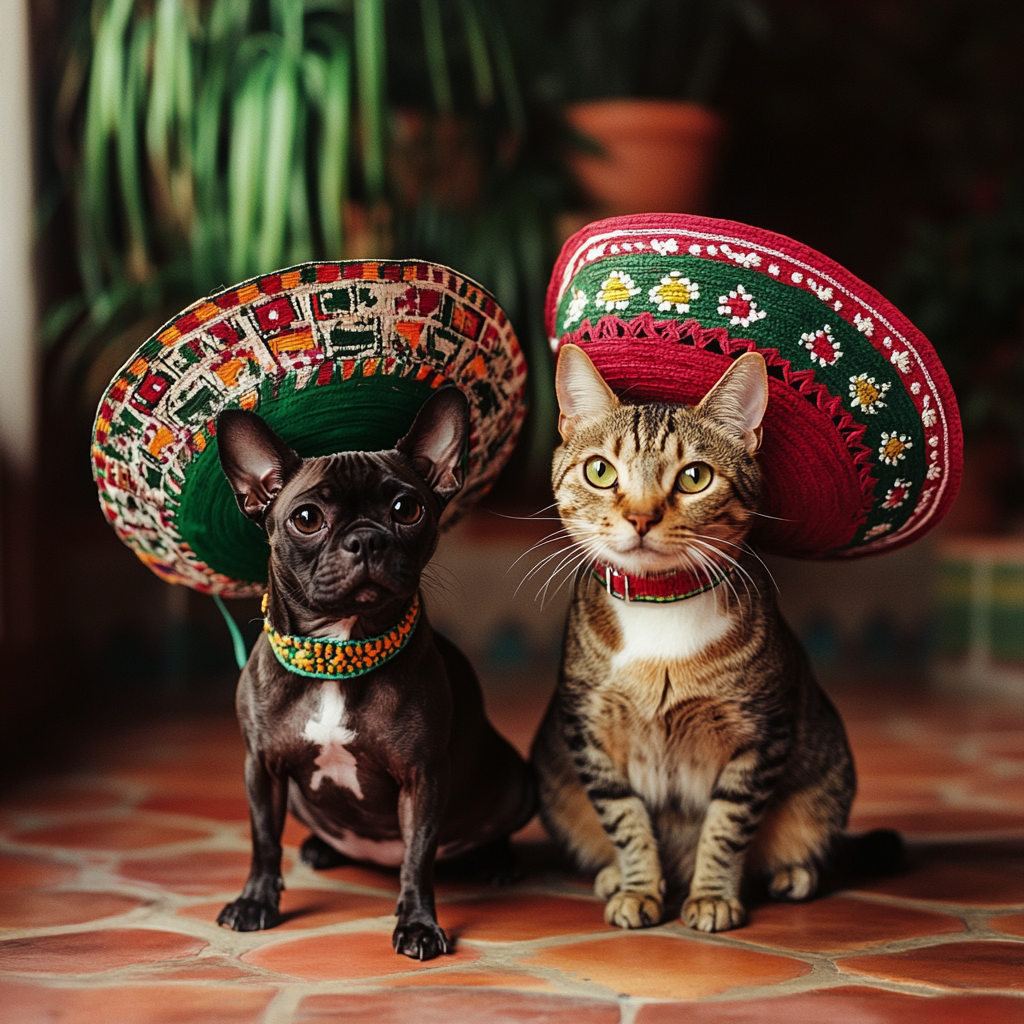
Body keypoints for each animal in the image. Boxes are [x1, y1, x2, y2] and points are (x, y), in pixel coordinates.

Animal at [215, 387, 536, 954]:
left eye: (407, 509)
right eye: (306, 518)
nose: (366, 539)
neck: (340, 653)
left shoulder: (422, 776)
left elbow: (418, 857)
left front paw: (419, 924)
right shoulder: (263, 768)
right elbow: (263, 840)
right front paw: (255, 902)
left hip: (519, 781)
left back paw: (498, 860)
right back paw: (321, 848)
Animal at [532, 346, 860, 937]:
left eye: (694, 477)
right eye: (600, 471)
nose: (640, 517)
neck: (661, 605)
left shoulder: (760, 735)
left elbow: (727, 827)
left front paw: (711, 896)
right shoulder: (589, 735)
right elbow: (625, 819)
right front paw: (638, 887)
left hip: (826, 780)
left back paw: (793, 873)